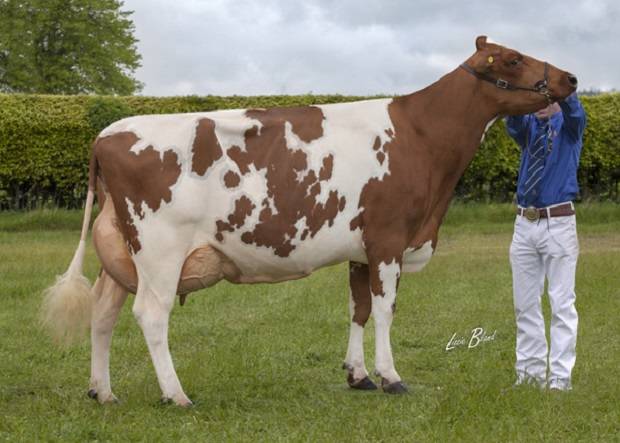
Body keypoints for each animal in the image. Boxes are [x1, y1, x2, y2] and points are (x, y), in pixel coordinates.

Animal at [42, 36, 576, 408]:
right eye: (513, 59)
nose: (570, 79)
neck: (421, 137)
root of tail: (109, 133)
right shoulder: (389, 239)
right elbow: (386, 310)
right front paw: (392, 377)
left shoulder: (362, 248)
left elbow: (359, 309)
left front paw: (359, 375)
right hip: (159, 251)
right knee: (150, 316)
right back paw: (176, 395)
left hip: (122, 252)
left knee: (103, 313)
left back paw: (103, 391)